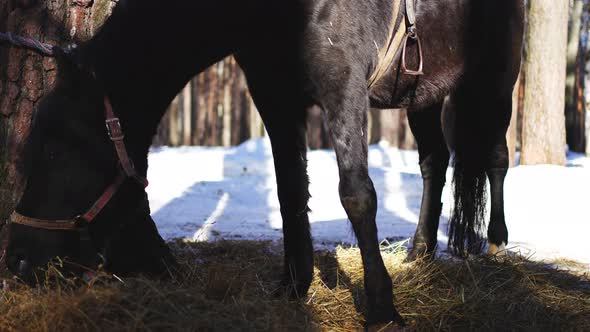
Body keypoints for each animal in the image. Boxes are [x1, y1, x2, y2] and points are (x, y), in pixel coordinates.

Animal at [3, 0, 524, 326]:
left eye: (57, 149)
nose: (19, 261)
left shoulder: (343, 89)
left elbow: (357, 195)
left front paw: (381, 311)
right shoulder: (274, 95)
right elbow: (289, 188)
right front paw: (293, 287)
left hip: (494, 80)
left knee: (496, 156)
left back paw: (497, 243)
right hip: (419, 93)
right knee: (435, 161)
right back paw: (420, 252)